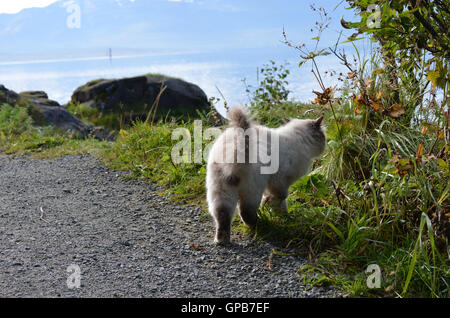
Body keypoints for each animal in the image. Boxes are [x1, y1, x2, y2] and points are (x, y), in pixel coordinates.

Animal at [206, 108, 326, 245]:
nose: (325, 146)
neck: (297, 140)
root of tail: (237, 143)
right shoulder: (280, 181)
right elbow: (281, 198)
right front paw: (282, 215)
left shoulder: (272, 185)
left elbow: (276, 200)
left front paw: (278, 212)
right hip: (252, 191)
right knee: (246, 212)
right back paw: (261, 226)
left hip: (222, 191)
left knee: (222, 215)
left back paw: (221, 240)